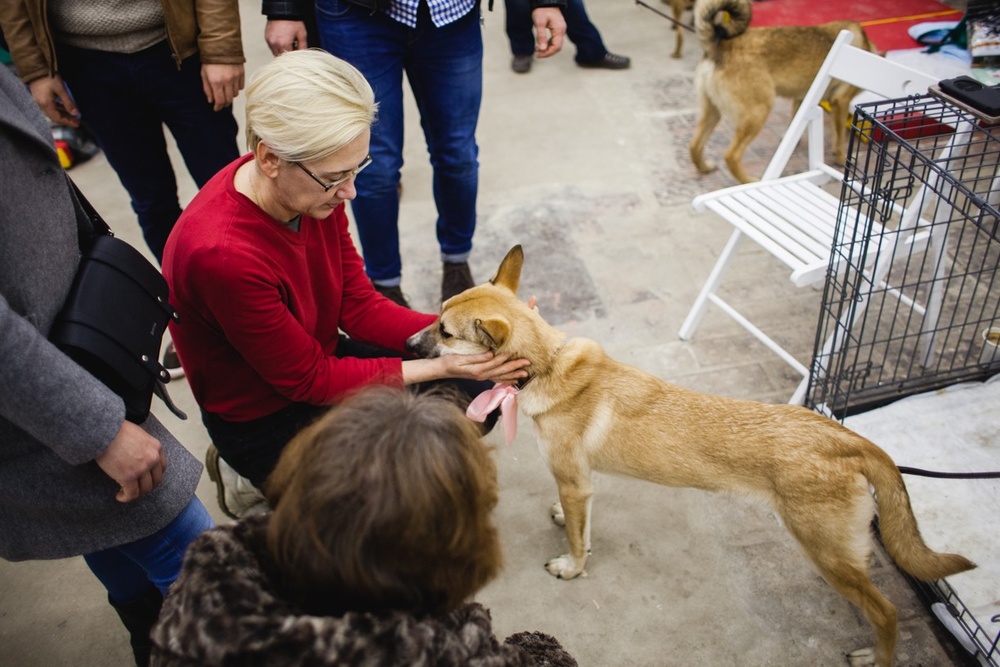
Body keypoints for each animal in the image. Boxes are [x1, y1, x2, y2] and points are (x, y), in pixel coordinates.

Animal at [402, 247, 972, 667]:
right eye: (436, 315)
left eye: (445, 332)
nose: (406, 344)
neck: (547, 366)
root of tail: (845, 436)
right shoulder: (582, 483)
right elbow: (580, 519)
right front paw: (567, 522)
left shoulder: (573, 477)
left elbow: (579, 544)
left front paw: (572, 567)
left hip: (827, 552)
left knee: (887, 612)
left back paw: (877, 656)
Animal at [688, 0, 876, 183]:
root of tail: (720, 46)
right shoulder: (840, 101)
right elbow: (839, 138)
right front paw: (843, 159)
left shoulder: (802, 100)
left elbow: (794, 124)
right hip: (758, 113)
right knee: (731, 156)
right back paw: (748, 180)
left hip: (713, 112)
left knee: (695, 145)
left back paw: (704, 168)